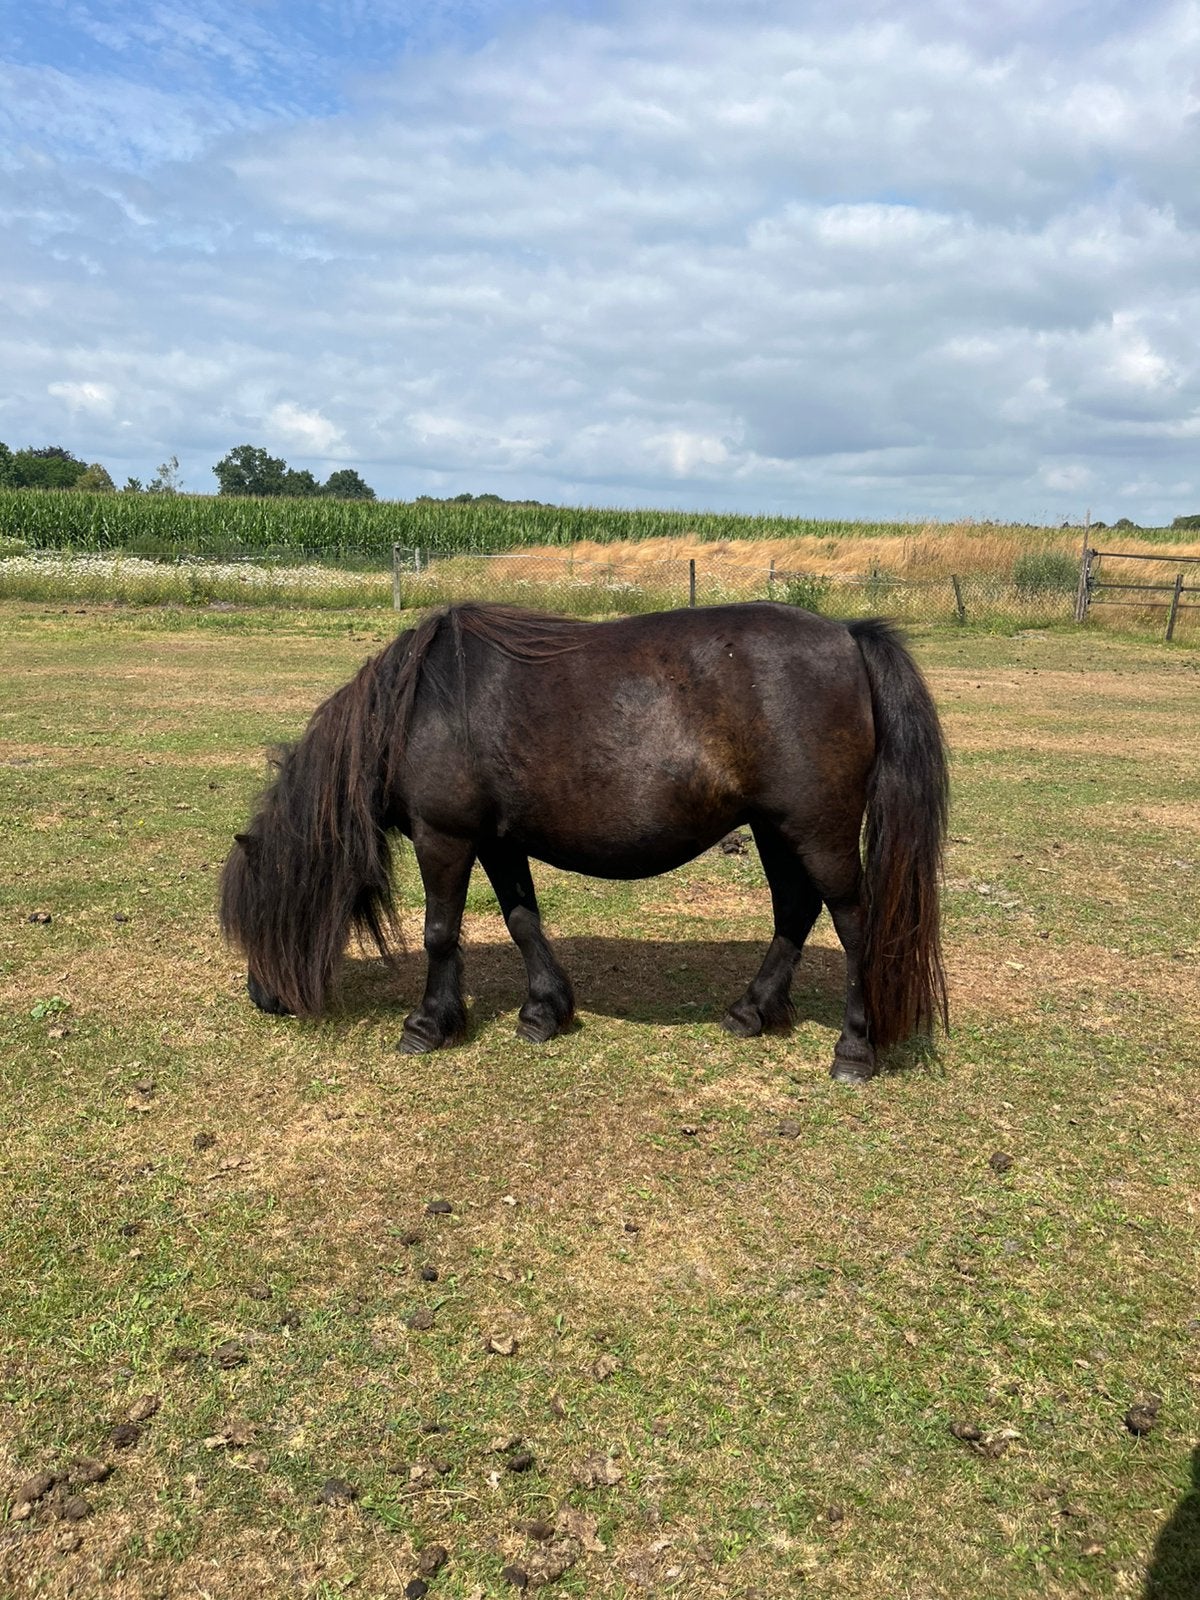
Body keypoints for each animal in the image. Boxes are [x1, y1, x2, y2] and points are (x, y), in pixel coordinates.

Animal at [220, 600, 948, 1082]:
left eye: (257, 913)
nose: (263, 999)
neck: (415, 709)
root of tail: (848, 636)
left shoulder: (445, 836)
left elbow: (439, 931)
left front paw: (429, 1024)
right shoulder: (498, 840)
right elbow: (521, 920)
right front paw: (545, 1011)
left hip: (817, 831)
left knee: (854, 926)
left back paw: (853, 1049)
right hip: (775, 829)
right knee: (795, 911)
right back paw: (751, 1011)